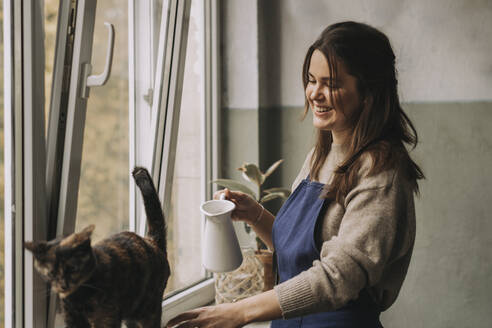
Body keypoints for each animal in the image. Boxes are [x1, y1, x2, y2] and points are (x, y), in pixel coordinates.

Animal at [24, 168, 170, 326]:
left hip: (148, 312)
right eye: (51, 273)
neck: (77, 297)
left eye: (73, 268)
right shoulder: (72, 318)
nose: (63, 285)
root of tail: (151, 241)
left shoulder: (106, 318)